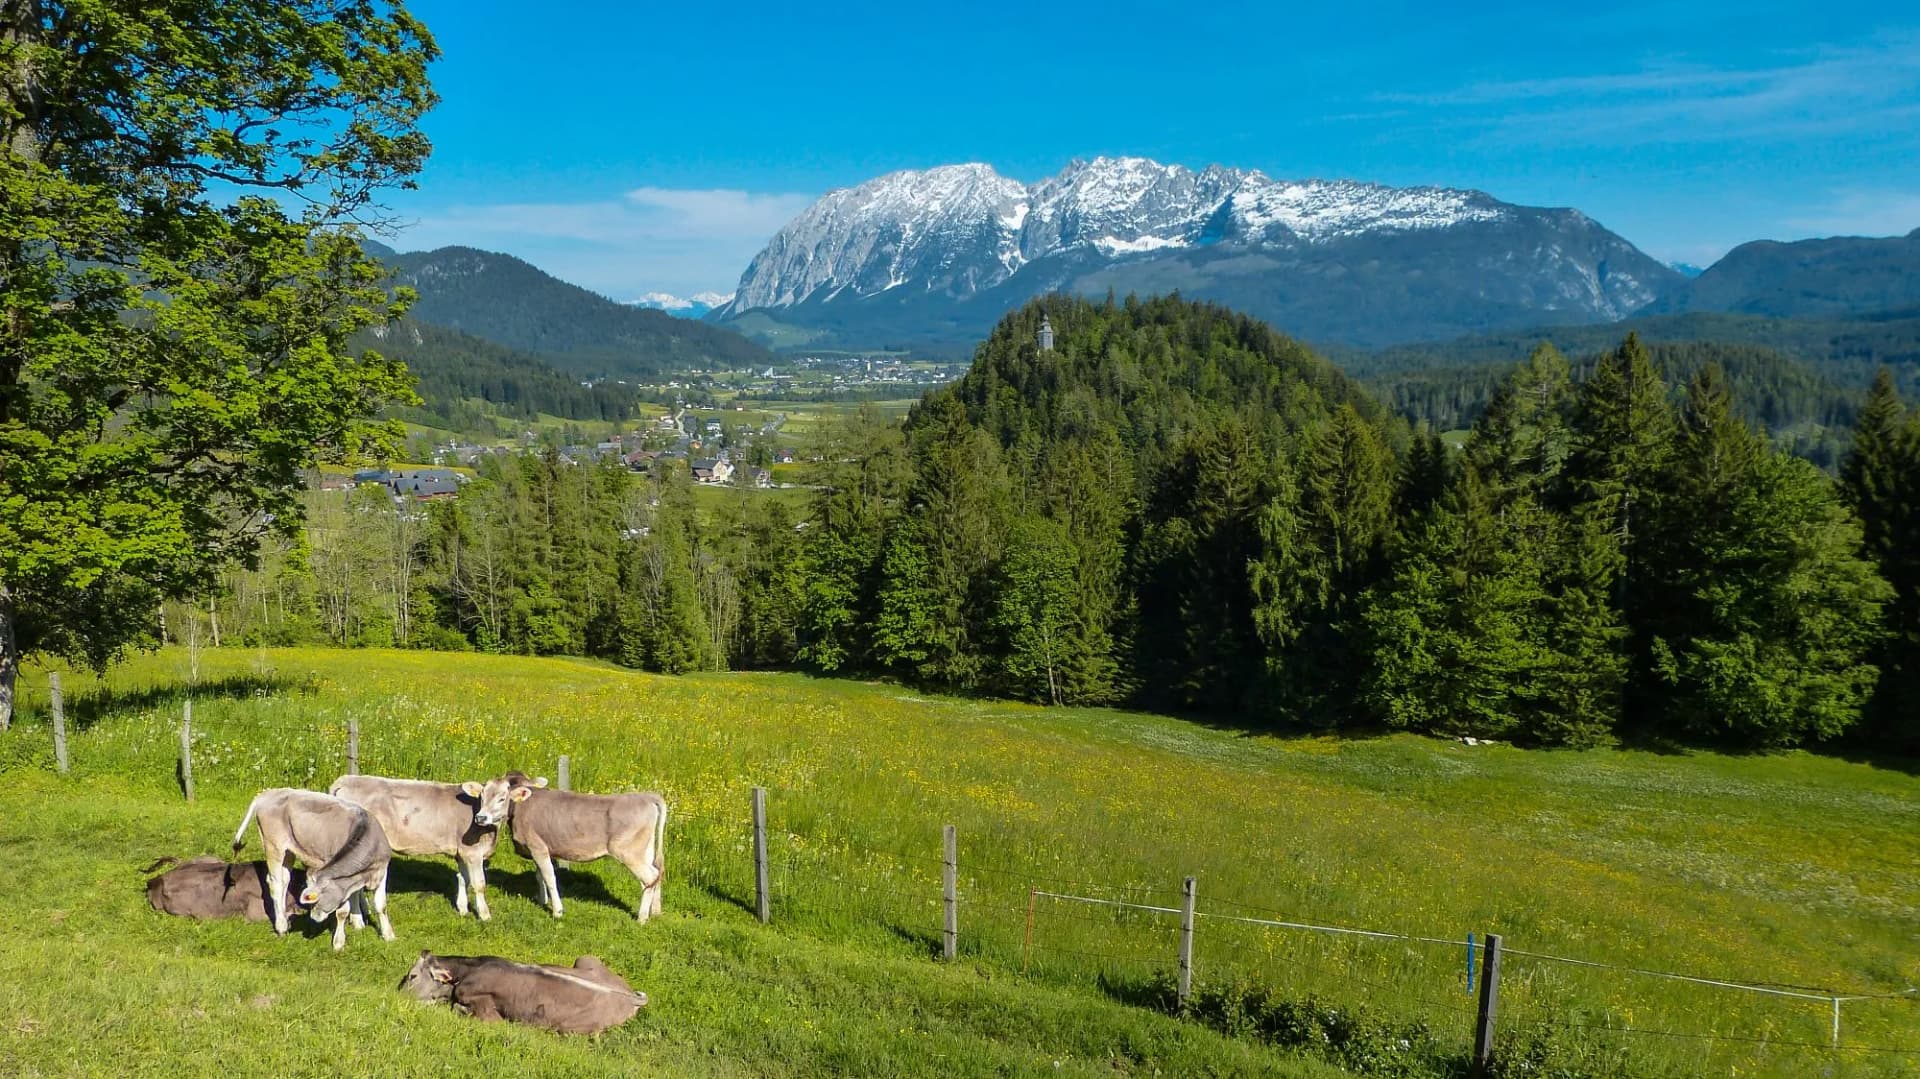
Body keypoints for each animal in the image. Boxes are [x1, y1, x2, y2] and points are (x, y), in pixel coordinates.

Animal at [231, 788, 395, 949]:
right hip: (273, 846)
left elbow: (380, 905)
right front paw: (339, 942)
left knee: (285, 881)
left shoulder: (381, 870)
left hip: (289, 851)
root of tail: (269, 793)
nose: (313, 916)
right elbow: (342, 911)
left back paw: (284, 918)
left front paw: (387, 935)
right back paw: (281, 926)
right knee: (275, 883)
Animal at [327, 772, 547, 921]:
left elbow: (463, 878)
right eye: (482, 797)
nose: (481, 817)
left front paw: (463, 909)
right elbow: (479, 884)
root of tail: (347, 779)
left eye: (502, 798)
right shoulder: (473, 853)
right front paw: (485, 915)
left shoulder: (461, 852)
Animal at [398, 950, 648, 1035]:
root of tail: (632, 997)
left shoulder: (486, 1011)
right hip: (586, 958)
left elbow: (460, 1008)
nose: (397, 995)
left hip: (568, 1027)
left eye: (412, 976)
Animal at [503, 779, 667, 923]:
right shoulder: (540, 850)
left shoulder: (537, 848)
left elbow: (549, 877)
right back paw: (655, 912)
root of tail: (646, 796)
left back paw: (642, 918)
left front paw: (557, 911)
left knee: (651, 877)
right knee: (655, 873)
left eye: (502, 798)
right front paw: (542, 901)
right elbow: (539, 876)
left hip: (627, 850)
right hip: (646, 849)